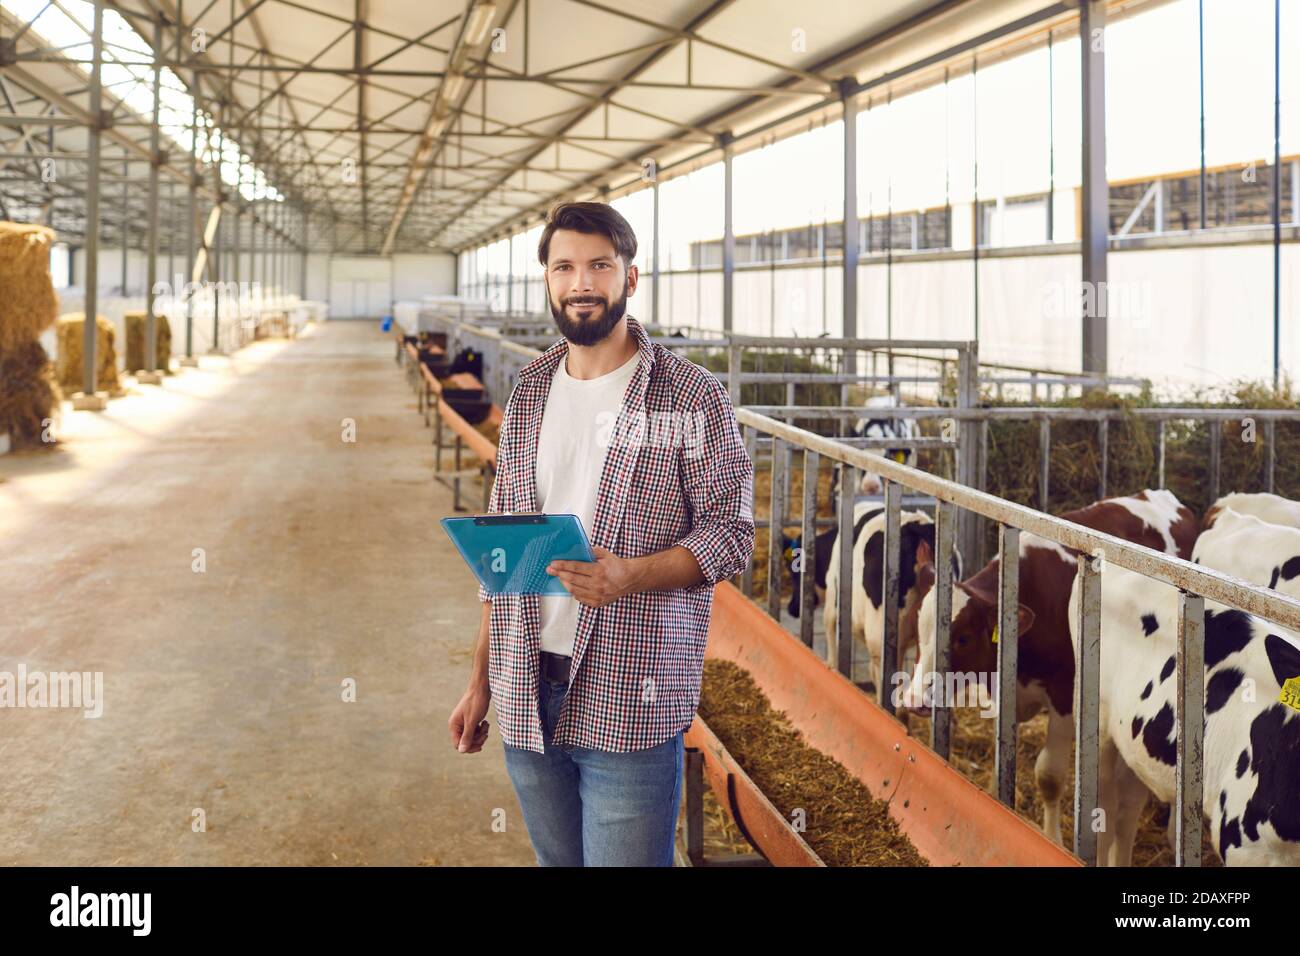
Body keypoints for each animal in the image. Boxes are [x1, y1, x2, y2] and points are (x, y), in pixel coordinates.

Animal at [904, 494, 1196, 842]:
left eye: (963, 638)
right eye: (917, 630)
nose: (914, 700)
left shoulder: (1065, 695)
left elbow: (1049, 776)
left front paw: (1053, 839)